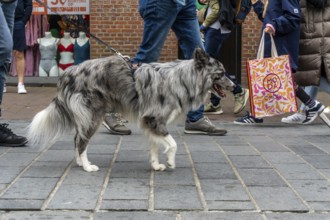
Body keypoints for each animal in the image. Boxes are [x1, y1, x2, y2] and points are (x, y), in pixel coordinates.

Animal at [27, 48, 235, 172]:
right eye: (221, 74)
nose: (235, 87)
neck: (182, 79)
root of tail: (68, 74)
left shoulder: (150, 122)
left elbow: (155, 145)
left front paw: (156, 165)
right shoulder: (154, 119)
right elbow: (173, 144)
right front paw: (170, 161)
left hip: (86, 117)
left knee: (77, 138)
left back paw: (79, 162)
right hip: (93, 116)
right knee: (82, 141)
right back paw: (87, 166)